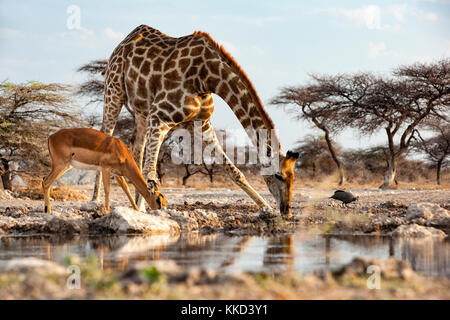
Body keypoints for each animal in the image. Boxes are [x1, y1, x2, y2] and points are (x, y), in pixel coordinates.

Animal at [94, 23, 298, 216]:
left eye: (293, 177)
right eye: (278, 175)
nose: (286, 210)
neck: (207, 78)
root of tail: (123, 43)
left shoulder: (201, 124)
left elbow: (235, 171)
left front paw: (266, 208)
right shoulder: (158, 115)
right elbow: (149, 171)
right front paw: (149, 207)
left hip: (140, 111)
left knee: (136, 146)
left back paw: (135, 204)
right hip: (114, 90)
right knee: (107, 136)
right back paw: (96, 202)